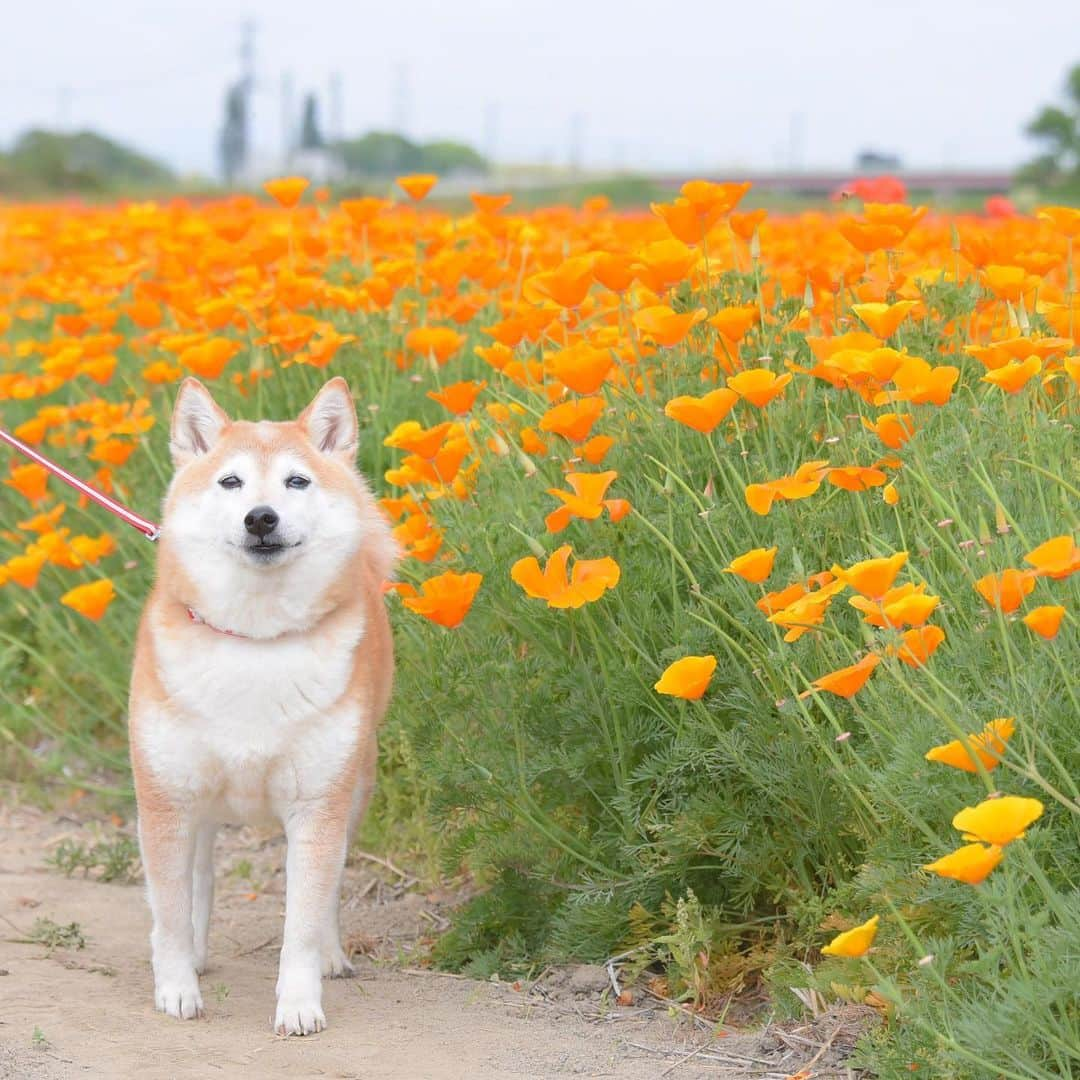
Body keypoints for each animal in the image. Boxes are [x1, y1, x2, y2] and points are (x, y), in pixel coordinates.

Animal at [128, 375, 395, 1032]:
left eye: (297, 481)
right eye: (232, 482)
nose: (261, 517)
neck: (254, 640)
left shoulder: (317, 808)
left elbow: (301, 922)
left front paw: (299, 1003)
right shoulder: (166, 801)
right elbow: (170, 914)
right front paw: (176, 988)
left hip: (354, 790)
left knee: (328, 893)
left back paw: (331, 956)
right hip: (196, 806)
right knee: (199, 882)